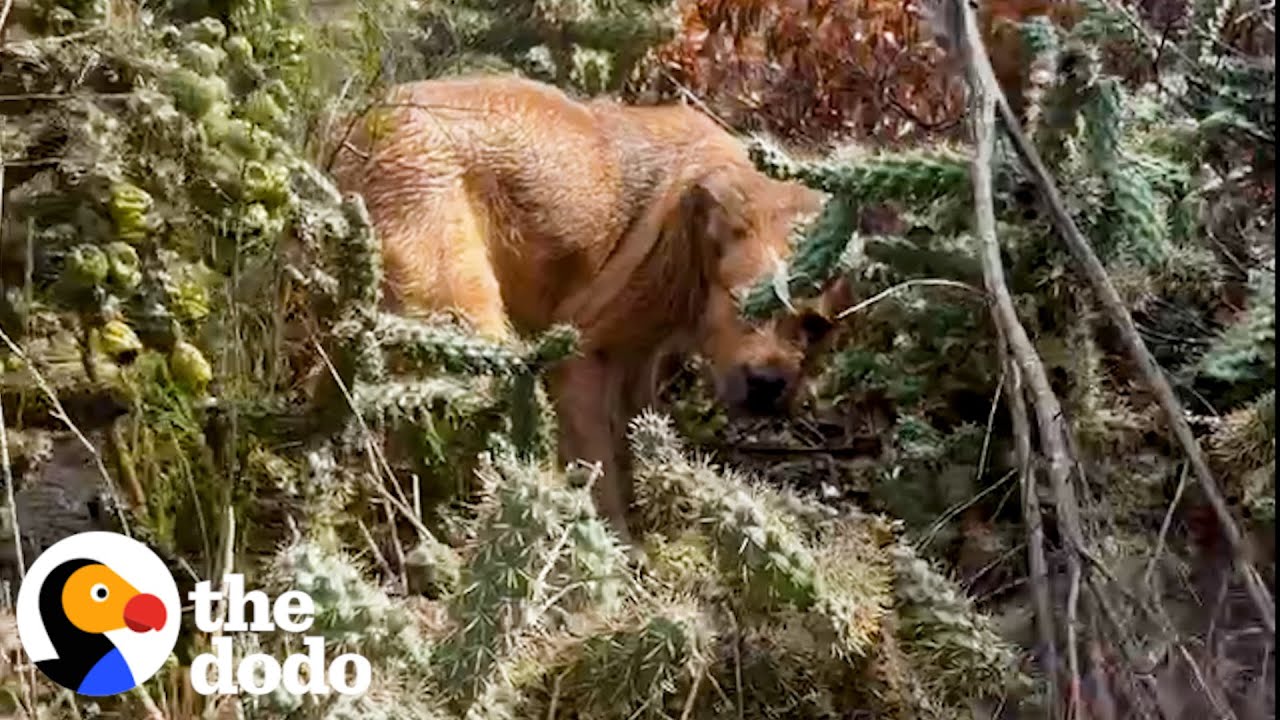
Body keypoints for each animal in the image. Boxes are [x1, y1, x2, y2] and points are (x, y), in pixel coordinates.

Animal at [325, 74, 834, 543]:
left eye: (816, 326)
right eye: (744, 303)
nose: (767, 385)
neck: (692, 230)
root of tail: (357, 128)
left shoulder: (636, 361)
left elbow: (637, 440)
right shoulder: (583, 360)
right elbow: (600, 467)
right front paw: (616, 544)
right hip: (463, 321)